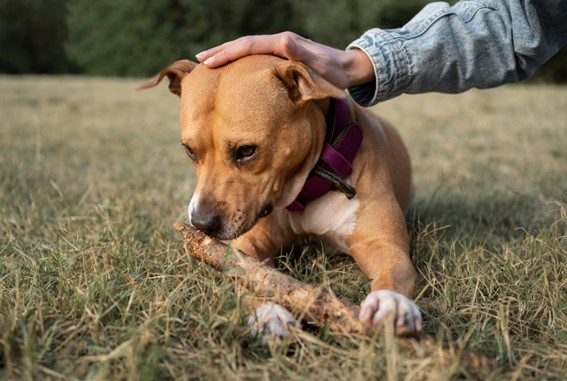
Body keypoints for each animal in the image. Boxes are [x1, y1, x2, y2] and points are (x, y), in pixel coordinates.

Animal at [140, 55, 422, 336]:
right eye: (189, 150)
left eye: (246, 150)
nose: (202, 223)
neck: (302, 192)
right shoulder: (248, 243)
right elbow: (248, 273)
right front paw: (268, 313)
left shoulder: (382, 244)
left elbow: (393, 270)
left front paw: (391, 303)